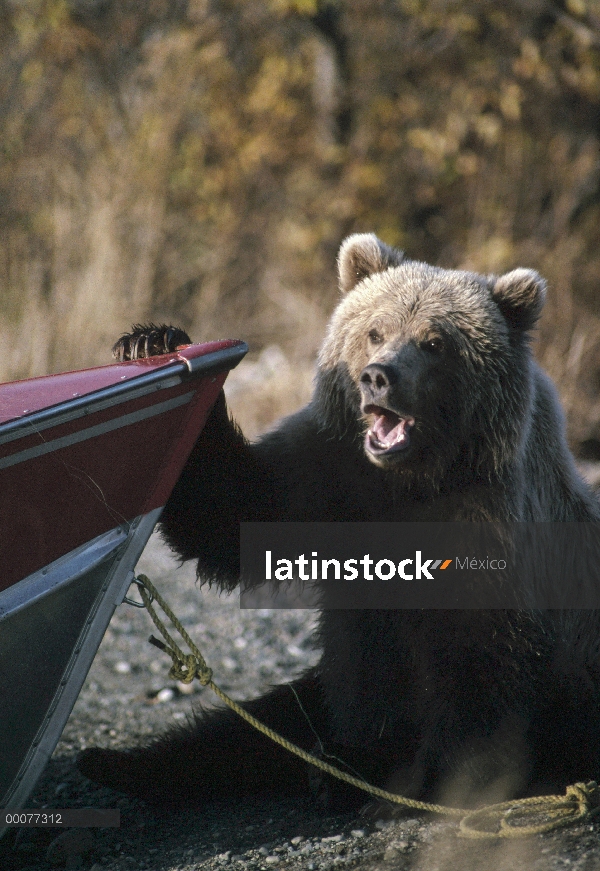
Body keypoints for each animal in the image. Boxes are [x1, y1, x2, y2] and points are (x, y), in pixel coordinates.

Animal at [77, 233, 600, 812]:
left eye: (434, 342)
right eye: (375, 331)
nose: (378, 376)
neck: (411, 480)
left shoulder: (487, 524)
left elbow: (476, 667)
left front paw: (421, 774)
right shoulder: (331, 476)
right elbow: (235, 511)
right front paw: (150, 341)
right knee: (250, 730)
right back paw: (120, 763)